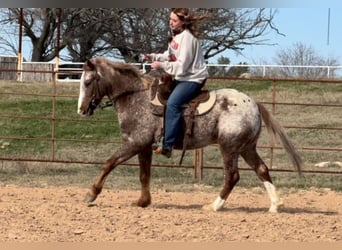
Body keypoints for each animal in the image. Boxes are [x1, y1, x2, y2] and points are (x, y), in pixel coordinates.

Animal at [77, 57, 302, 213]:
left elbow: (109, 163)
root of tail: (253, 103)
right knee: (262, 169)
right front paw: (143, 201)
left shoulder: (134, 143)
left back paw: (214, 206)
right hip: (246, 148)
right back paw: (274, 206)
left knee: (232, 176)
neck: (136, 98)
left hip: (229, 148)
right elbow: (144, 174)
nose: (81, 109)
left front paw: (91, 194)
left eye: (88, 82)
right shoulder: (144, 146)